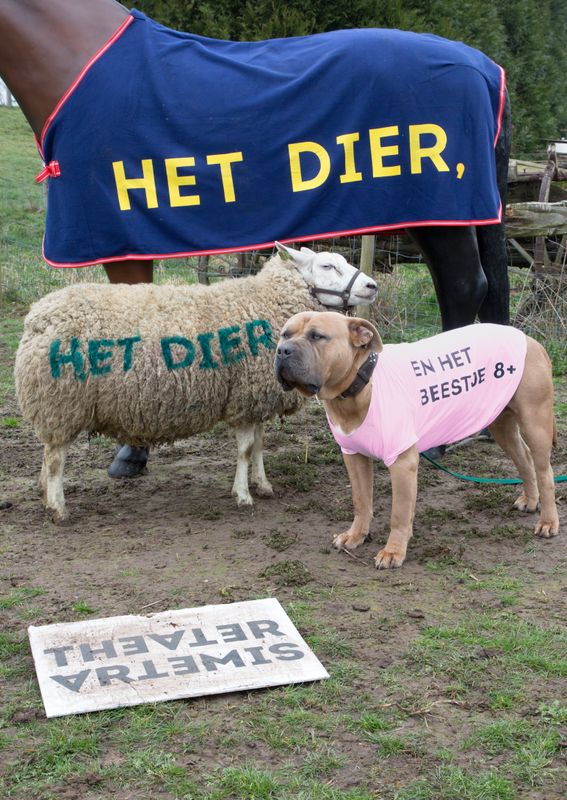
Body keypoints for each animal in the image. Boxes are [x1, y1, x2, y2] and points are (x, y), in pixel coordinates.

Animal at [15, 243, 377, 521]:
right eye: (328, 265)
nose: (372, 286)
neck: (264, 302)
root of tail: (37, 316)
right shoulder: (244, 397)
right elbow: (245, 449)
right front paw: (242, 495)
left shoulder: (255, 397)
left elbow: (258, 446)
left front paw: (263, 485)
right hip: (61, 402)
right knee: (56, 457)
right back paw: (58, 507)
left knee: (48, 453)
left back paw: (44, 492)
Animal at [274, 311, 559, 569]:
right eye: (285, 334)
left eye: (317, 336)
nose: (283, 351)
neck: (359, 385)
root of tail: (529, 339)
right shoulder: (354, 457)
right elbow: (361, 501)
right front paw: (356, 535)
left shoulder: (401, 463)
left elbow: (399, 513)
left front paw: (393, 551)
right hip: (500, 421)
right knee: (524, 458)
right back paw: (530, 500)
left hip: (535, 421)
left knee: (544, 471)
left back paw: (548, 521)